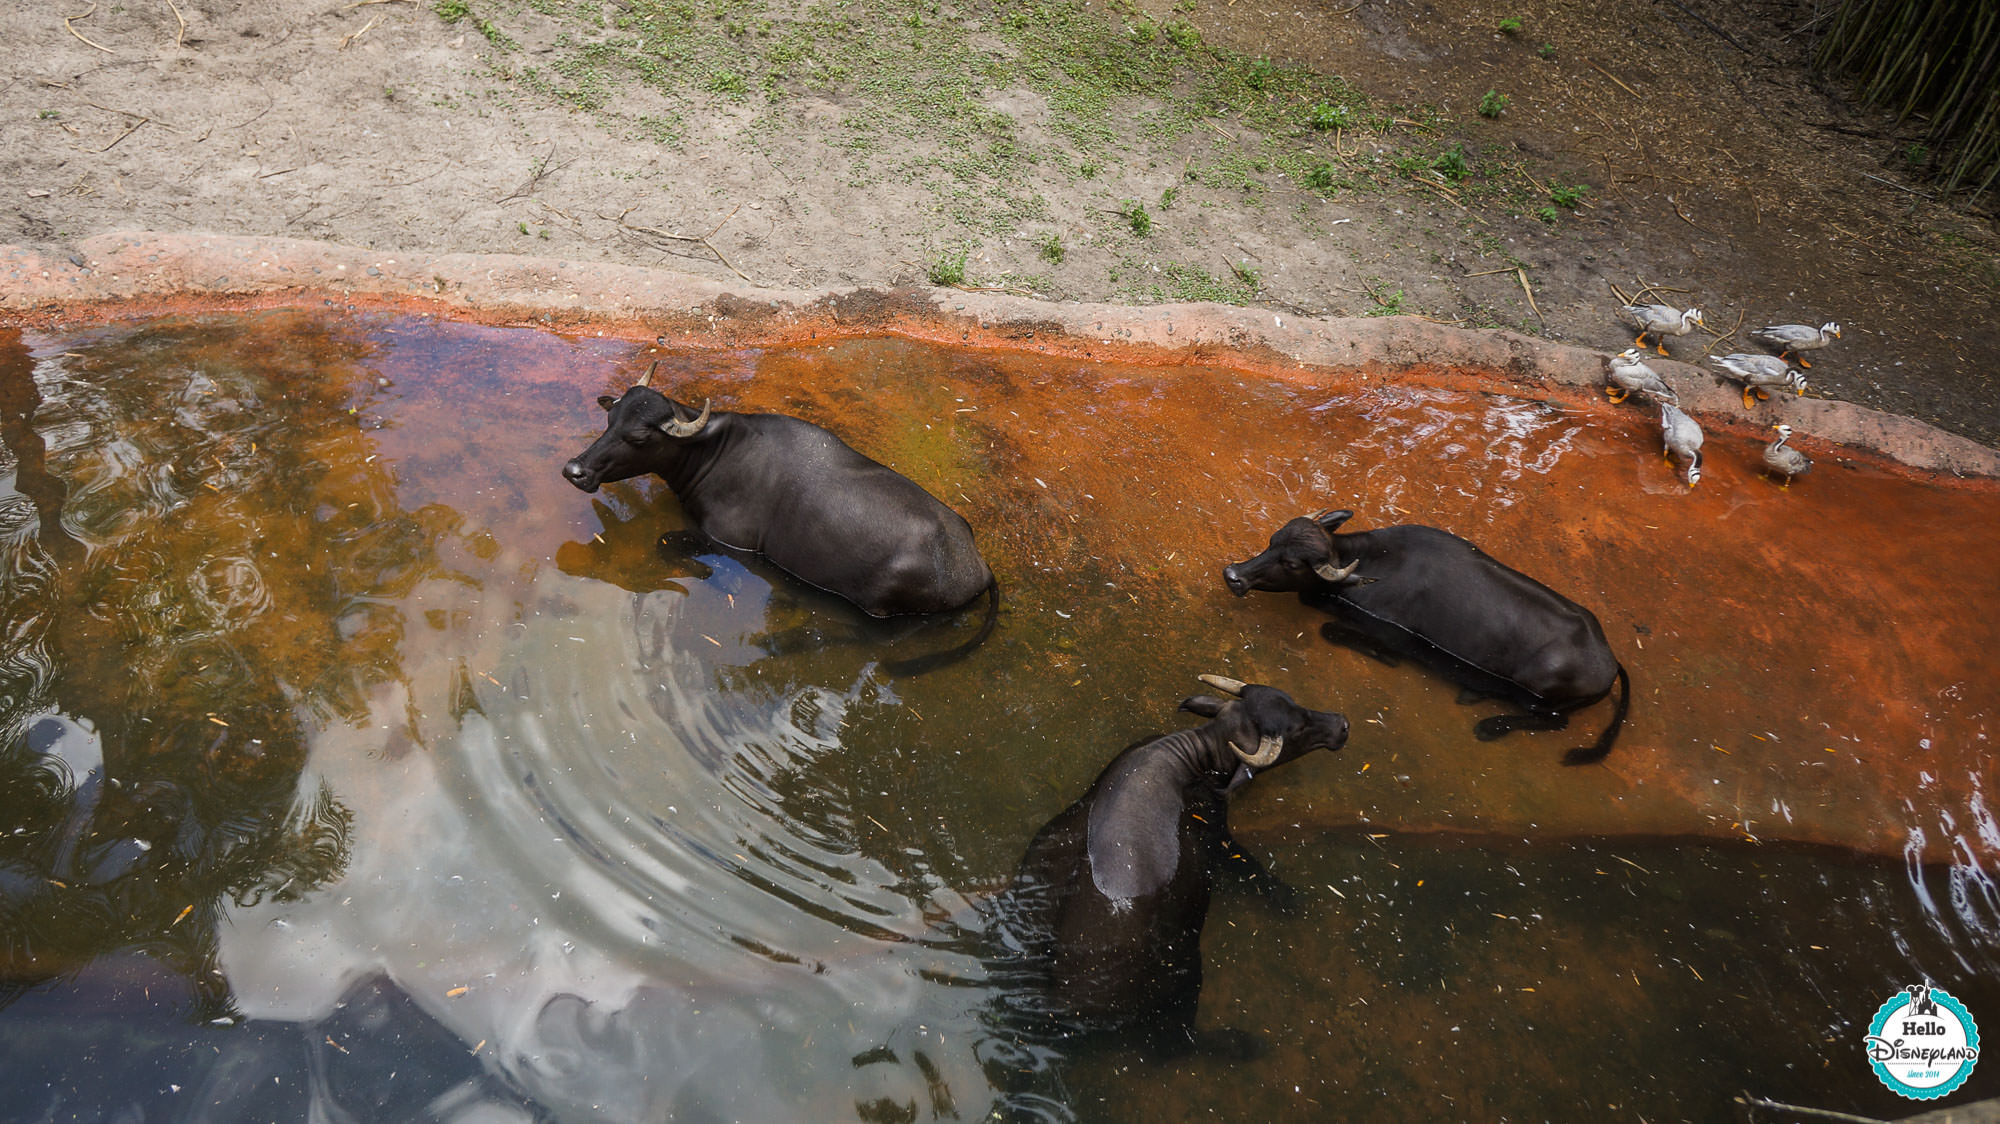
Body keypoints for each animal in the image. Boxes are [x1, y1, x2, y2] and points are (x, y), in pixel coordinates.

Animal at [560, 368, 996, 660]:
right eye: (610, 419)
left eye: (638, 437)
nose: (575, 470)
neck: (713, 452)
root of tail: (976, 565)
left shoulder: (727, 540)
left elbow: (666, 543)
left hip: (879, 607)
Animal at [996, 672, 1344, 1032]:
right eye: (1297, 729)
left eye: (1294, 703)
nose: (1342, 724)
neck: (1195, 758)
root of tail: (1062, 1001)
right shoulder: (1218, 833)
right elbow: (1246, 865)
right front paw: (1286, 897)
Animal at [1216, 512, 1624, 764]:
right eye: (1273, 541)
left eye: (1291, 564)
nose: (1233, 574)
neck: (1375, 563)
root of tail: (1610, 661)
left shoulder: (1390, 634)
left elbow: (1331, 630)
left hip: (1539, 700)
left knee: (1556, 722)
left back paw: (1490, 725)